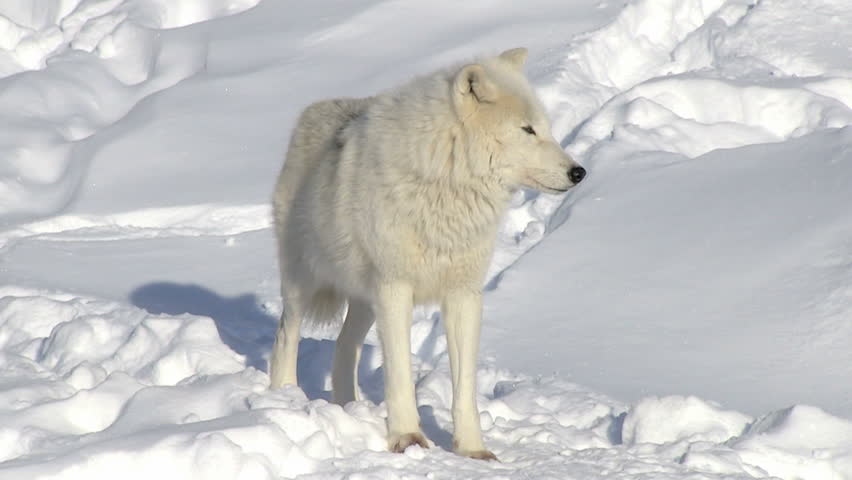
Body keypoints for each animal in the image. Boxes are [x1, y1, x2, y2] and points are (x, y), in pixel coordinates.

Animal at [270, 47, 586, 460]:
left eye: (545, 128)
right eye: (527, 130)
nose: (579, 172)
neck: (445, 181)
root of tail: (313, 109)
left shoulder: (464, 295)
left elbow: (464, 388)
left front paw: (473, 450)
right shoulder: (395, 288)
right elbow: (400, 375)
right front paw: (407, 438)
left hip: (365, 302)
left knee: (344, 346)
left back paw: (347, 408)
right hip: (303, 283)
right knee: (285, 336)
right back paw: (282, 398)